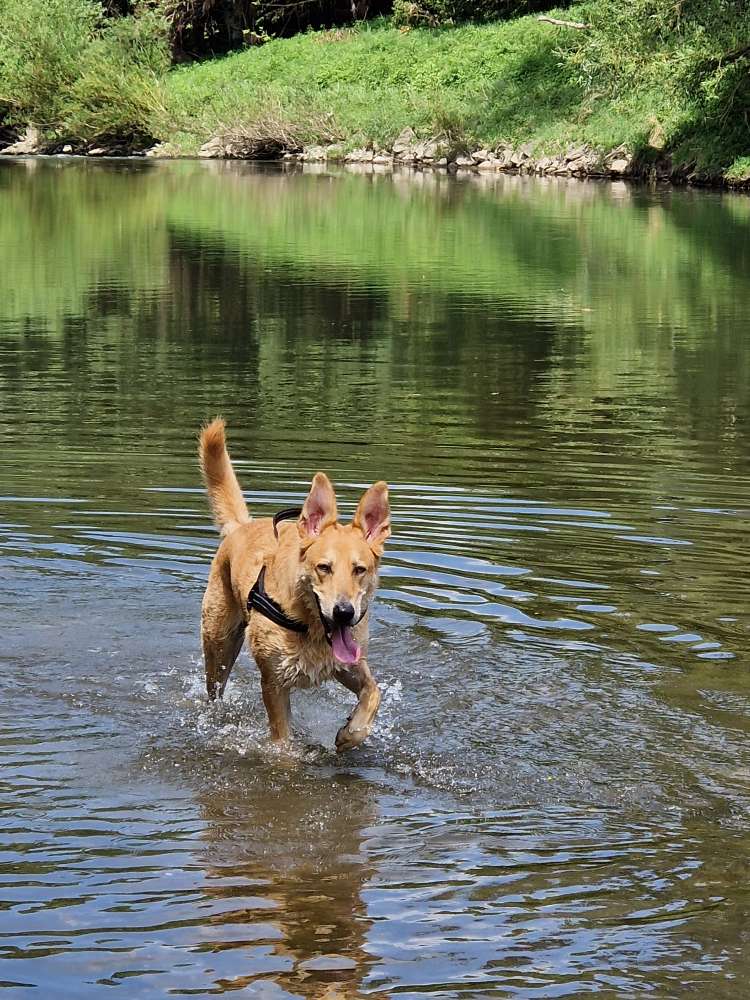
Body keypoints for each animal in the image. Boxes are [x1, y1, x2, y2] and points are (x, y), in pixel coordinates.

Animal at [197, 414, 390, 752]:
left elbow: (373, 693)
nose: (344, 612)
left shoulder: (350, 665)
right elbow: (283, 744)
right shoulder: (274, 682)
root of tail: (242, 526)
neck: (311, 627)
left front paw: (350, 734)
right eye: (324, 567)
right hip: (218, 643)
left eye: (360, 569)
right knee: (214, 688)